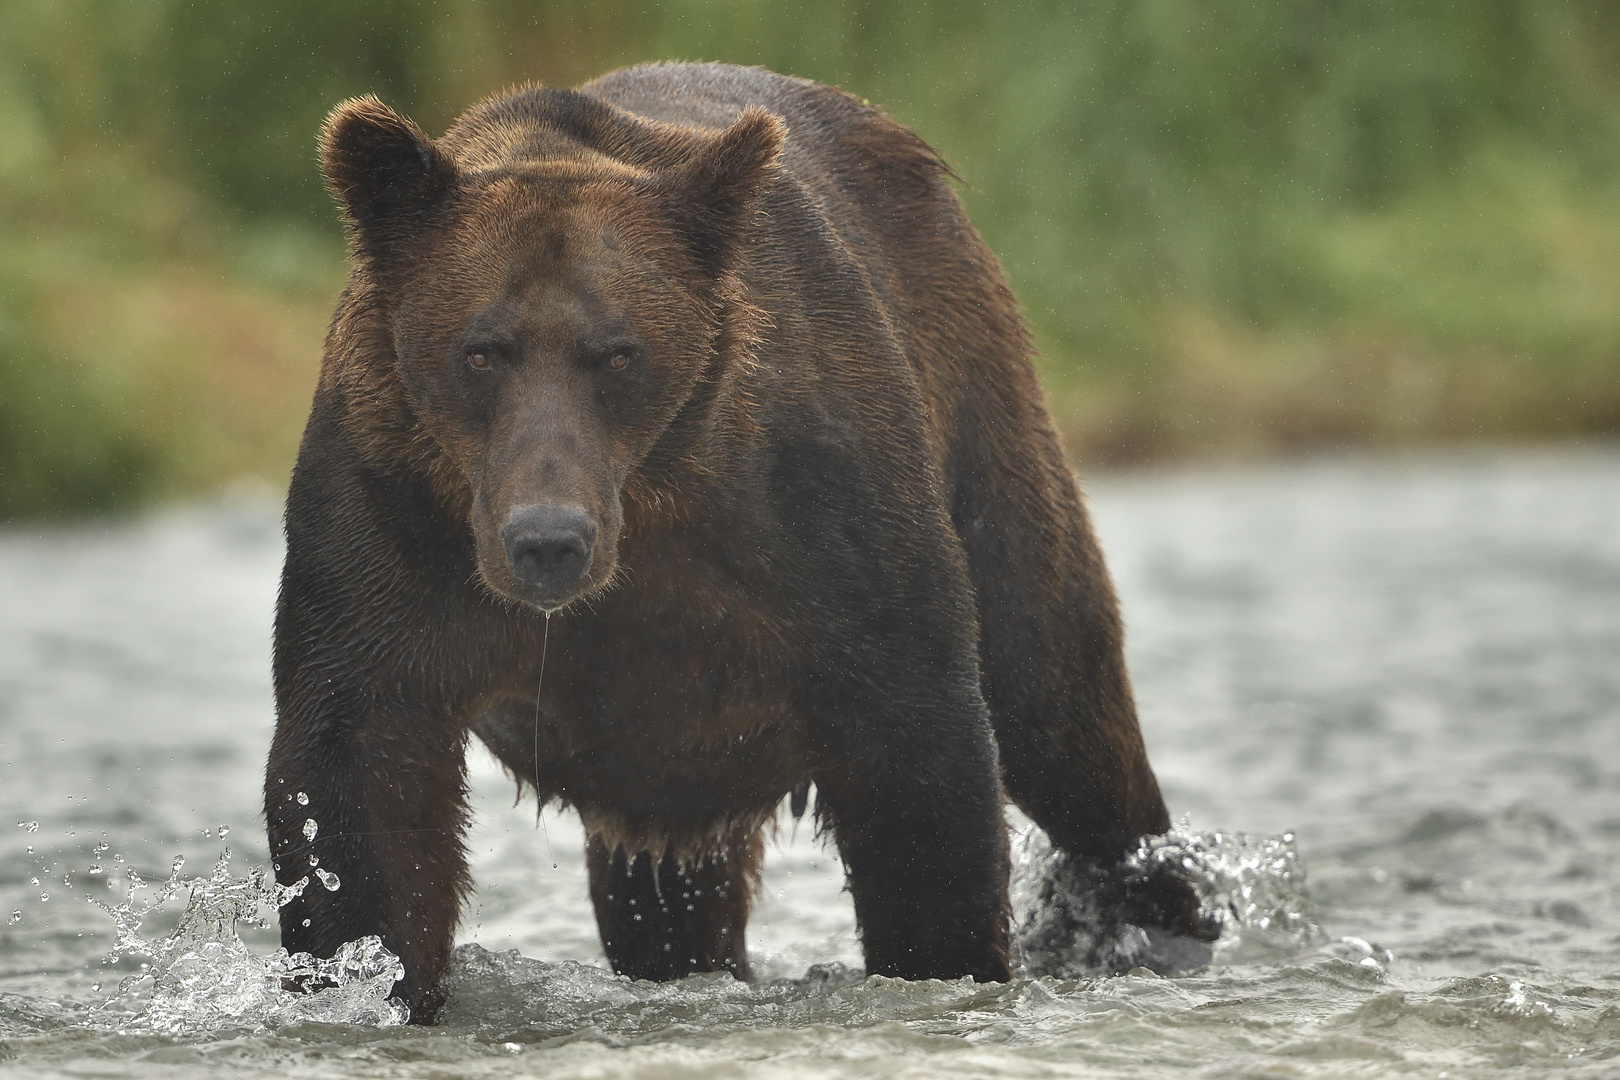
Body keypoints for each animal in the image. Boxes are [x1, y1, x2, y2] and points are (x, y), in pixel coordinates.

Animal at [265, 59, 1205, 1023]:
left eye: (619, 354)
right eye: (480, 351)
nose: (548, 540)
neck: (648, 508)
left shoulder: (811, 512)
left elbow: (919, 749)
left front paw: (940, 959)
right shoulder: (393, 525)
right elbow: (359, 785)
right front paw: (370, 981)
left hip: (977, 399)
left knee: (1055, 693)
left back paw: (1156, 921)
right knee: (667, 895)